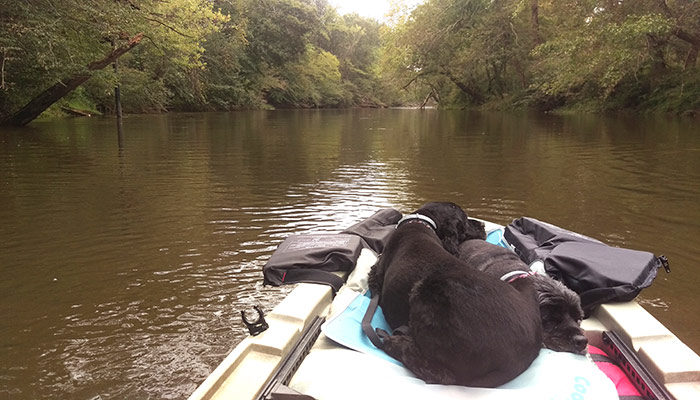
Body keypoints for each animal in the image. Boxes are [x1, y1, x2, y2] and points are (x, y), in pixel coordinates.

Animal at [366, 203, 540, 388]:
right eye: (465, 221)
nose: (482, 225)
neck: (420, 222)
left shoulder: (376, 273)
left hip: (425, 294)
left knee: (442, 375)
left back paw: (394, 343)